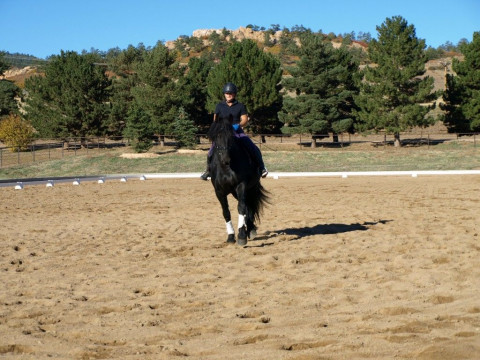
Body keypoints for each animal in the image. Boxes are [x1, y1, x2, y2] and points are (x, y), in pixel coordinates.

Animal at [207, 114, 270, 245]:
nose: (225, 159)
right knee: (247, 206)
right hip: (235, 192)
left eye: (231, 137)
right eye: (217, 136)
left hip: (250, 188)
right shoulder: (219, 191)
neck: (227, 168)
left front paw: (241, 236)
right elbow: (226, 212)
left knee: (248, 206)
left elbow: (241, 208)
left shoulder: (242, 186)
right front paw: (231, 236)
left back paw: (250, 230)